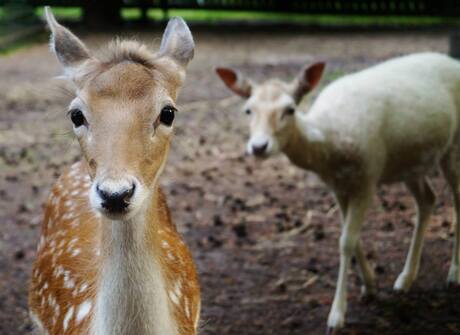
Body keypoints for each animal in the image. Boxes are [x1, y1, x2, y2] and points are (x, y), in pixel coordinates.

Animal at [216, 52, 460, 334]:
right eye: (248, 110)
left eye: (290, 109)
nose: (258, 147)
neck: (331, 145)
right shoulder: (337, 186)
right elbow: (351, 237)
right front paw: (370, 287)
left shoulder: (368, 176)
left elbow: (346, 242)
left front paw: (336, 317)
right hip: (411, 162)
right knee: (428, 199)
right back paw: (404, 279)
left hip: (453, 147)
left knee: (456, 199)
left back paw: (454, 274)